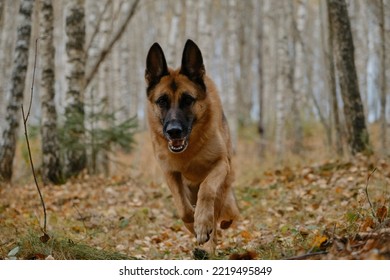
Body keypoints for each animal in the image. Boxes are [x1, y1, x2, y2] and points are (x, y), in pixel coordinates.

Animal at [145, 38, 239, 252]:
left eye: (188, 100)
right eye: (162, 101)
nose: (174, 131)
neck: (189, 150)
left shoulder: (221, 164)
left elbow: (207, 189)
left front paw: (202, 223)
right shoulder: (170, 172)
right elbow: (183, 208)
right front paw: (193, 223)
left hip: (224, 186)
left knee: (218, 213)